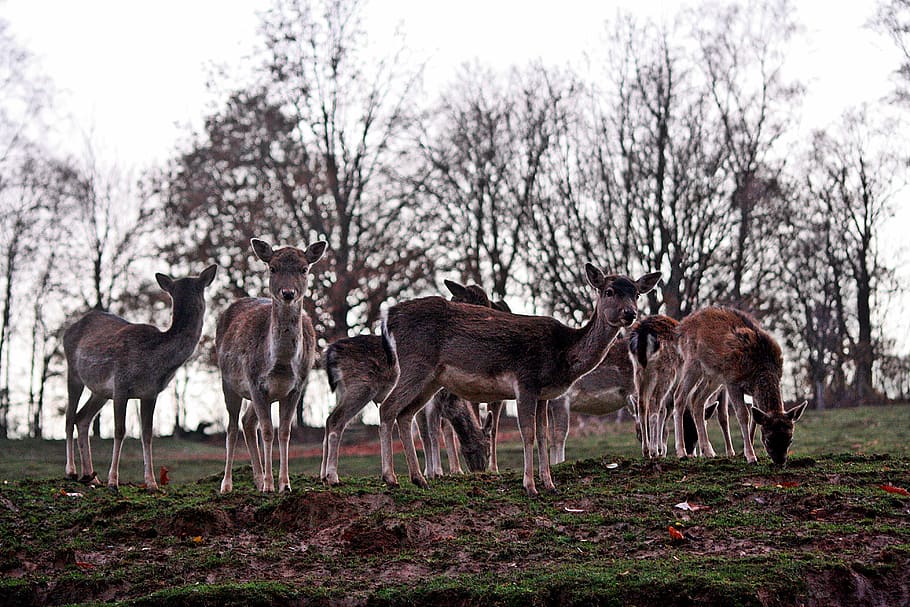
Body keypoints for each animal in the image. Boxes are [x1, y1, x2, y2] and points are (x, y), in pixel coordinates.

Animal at [63, 264, 217, 491]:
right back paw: (72, 471)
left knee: (82, 418)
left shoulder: (150, 393)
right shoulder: (121, 384)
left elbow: (147, 434)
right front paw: (113, 481)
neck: (153, 361)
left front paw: (151, 482)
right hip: (73, 372)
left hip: (101, 391)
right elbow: (120, 430)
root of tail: (68, 330)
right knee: (69, 416)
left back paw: (91, 477)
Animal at [217, 238, 326, 493]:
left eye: (304, 269)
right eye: (273, 268)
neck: (281, 364)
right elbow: (267, 431)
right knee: (232, 428)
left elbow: (284, 432)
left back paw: (256, 480)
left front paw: (284, 484)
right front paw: (269, 485)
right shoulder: (256, 382)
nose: (288, 293)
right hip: (228, 381)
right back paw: (227, 484)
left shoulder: (297, 387)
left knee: (247, 422)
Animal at [319, 279, 496, 486]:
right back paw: (333, 476)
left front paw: (443, 471)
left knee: (328, 420)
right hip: (360, 386)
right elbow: (431, 433)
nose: (480, 470)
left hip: (343, 390)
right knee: (336, 420)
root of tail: (331, 352)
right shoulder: (433, 398)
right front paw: (436, 472)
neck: (452, 401)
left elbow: (437, 431)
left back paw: (323, 475)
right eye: (486, 448)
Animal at [380, 263, 661, 496]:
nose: (630, 313)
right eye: (609, 291)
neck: (562, 353)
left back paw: (418, 479)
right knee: (387, 407)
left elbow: (543, 434)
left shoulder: (545, 394)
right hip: (414, 364)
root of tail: (390, 316)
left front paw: (550, 484)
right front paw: (530, 486)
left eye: (637, 293)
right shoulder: (526, 381)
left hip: (431, 379)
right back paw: (391, 478)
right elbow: (527, 433)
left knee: (405, 414)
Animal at [673, 306, 808, 465]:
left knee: (696, 399)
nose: (780, 461)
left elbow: (755, 419)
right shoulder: (732, 381)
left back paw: (708, 451)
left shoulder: (753, 390)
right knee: (679, 396)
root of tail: (682, 326)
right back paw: (681, 452)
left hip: (714, 376)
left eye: (790, 439)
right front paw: (751, 456)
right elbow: (744, 415)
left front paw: (746, 452)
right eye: (768, 440)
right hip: (692, 361)